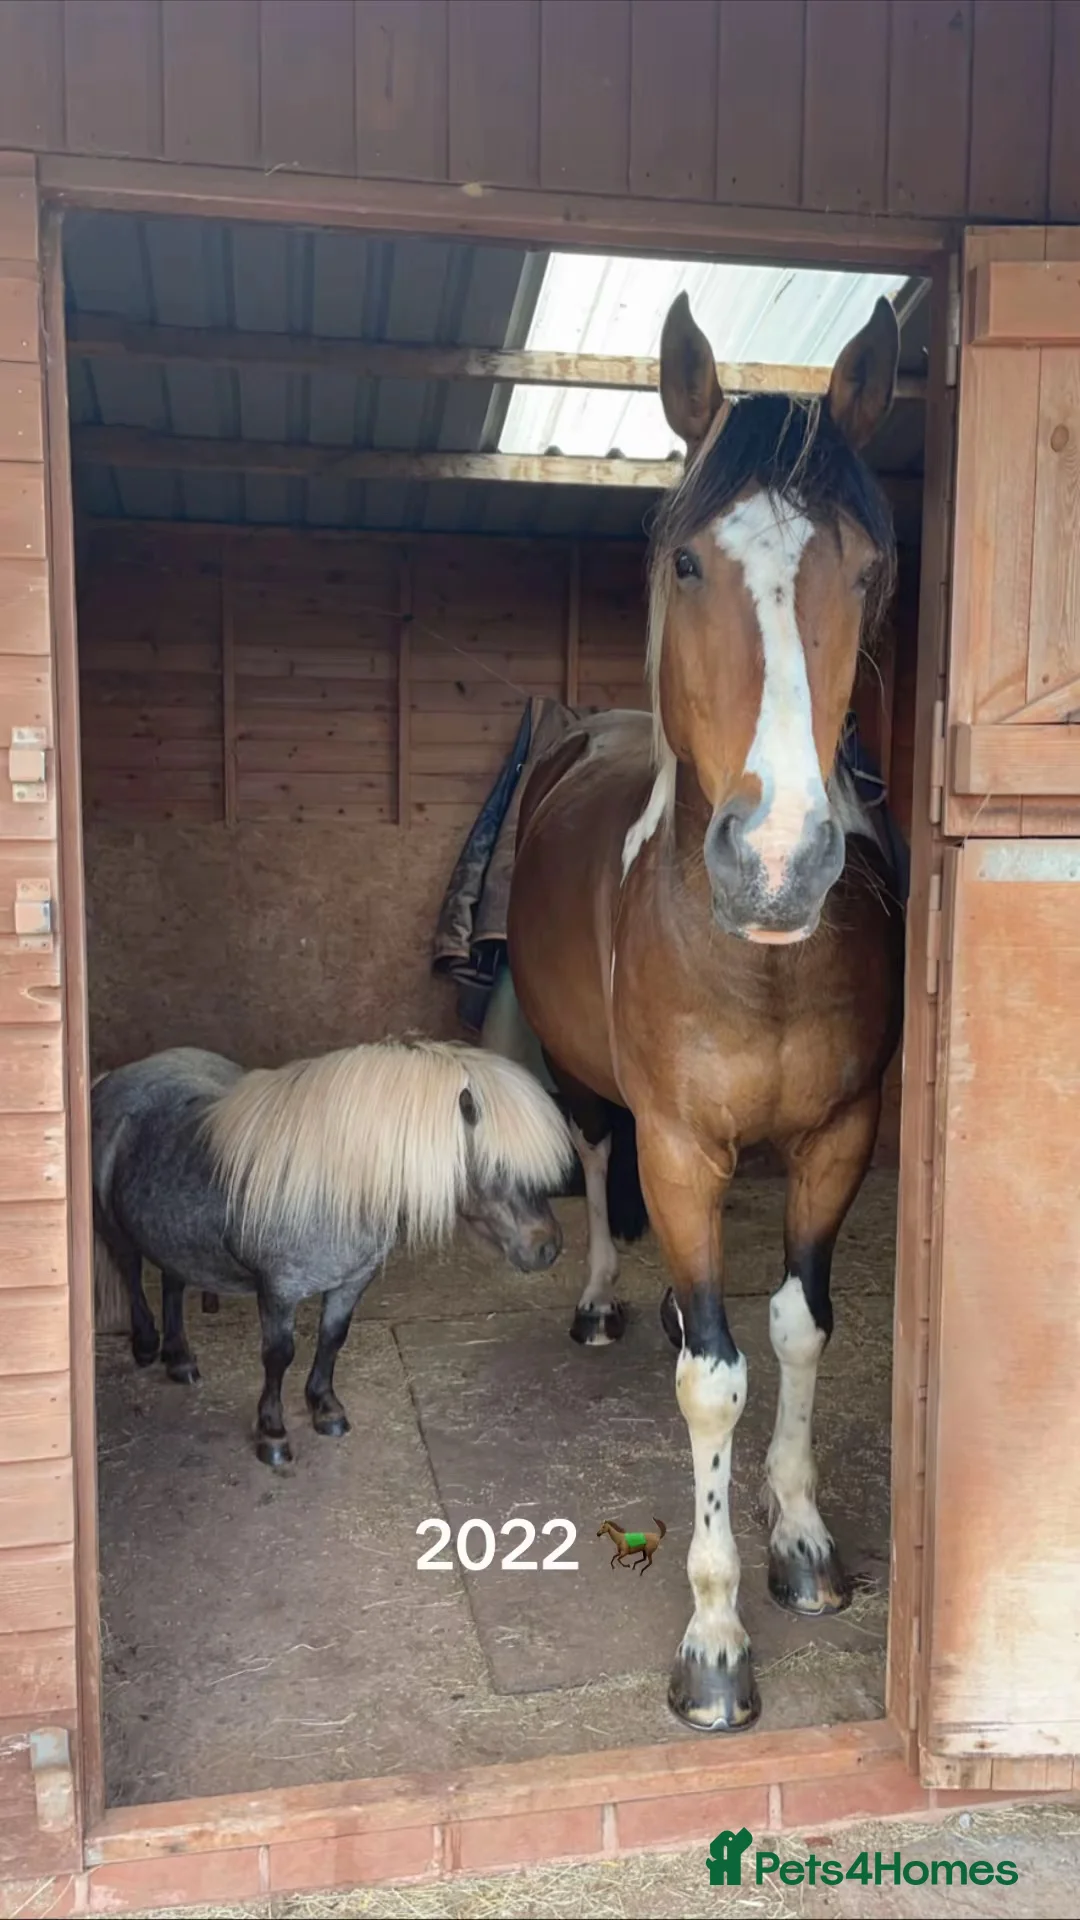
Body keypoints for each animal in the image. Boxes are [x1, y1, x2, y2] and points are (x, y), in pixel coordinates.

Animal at [92, 1039, 573, 1467]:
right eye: (497, 1164)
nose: (547, 1247)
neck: (331, 1185)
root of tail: (115, 1076)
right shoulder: (279, 1292)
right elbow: (278, 1356)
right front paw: (273, 1434)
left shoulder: (351, 1282)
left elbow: (332, 1338)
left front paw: (325, 1408)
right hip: (115, 1230)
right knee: (131, 1271)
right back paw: (148, 1345)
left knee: (172, 1280)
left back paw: (180, 1360)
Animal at [506, 291, 906, 1733]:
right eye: (685, 561)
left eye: (870, 569)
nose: (778, 861)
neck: (761, 962)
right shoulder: (683, 1149)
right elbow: (715, 1384)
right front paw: (718, 1642)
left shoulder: (841, 1138)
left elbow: (794, 1329)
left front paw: (803, 1544)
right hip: (592, 1087)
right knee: (596, 1157)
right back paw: (607, 1302)